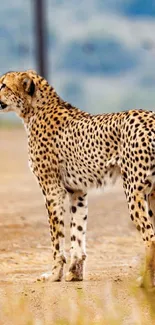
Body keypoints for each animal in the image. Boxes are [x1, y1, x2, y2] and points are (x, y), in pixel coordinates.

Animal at [0, 69, 155, 284]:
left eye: (3, 85)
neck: (34, 109)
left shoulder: (52, 189)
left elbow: (57, 237)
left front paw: (55, 274)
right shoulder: (78, 190)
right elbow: (77, 231)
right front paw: (75, 272)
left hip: (134, 192)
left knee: (151, 237)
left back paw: (145, 281)